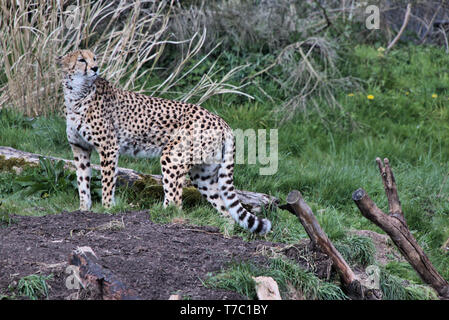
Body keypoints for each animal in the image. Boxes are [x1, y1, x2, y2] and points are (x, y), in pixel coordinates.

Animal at [57, 50, 272, 235]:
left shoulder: (108, 147)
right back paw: (224, 229)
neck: (77, 92)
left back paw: (158, 218)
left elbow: (107, 182)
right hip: (203, 174)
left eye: (94, 58)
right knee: (224, 210)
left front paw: (108, 209)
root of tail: (221, 120)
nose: (95, 68)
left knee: (176, 200)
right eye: (81, 60)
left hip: (172, 156)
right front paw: (84, 209)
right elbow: (82, 179)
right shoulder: (80, 148)